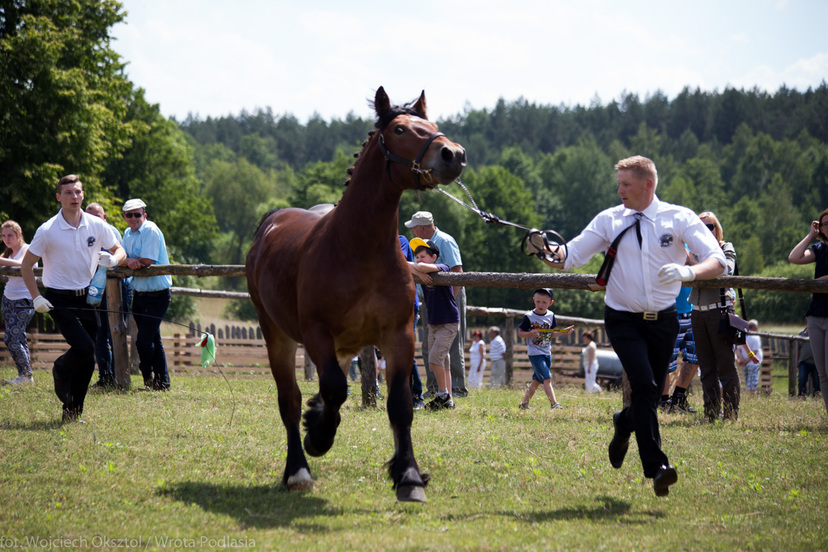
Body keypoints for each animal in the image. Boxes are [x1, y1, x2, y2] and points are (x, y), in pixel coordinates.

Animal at [246, 85, 466, 500]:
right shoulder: (317, 334)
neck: (359, 248)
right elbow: (334, 389)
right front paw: (318, 436)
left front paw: (409, 475)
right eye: (399, 129)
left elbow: (399, 404)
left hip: (344, 345)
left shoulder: (398, 336)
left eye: (433, 126)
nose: (453, 154)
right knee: (289, 398)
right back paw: (298, 468)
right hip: (277, 334)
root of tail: (272, 222)